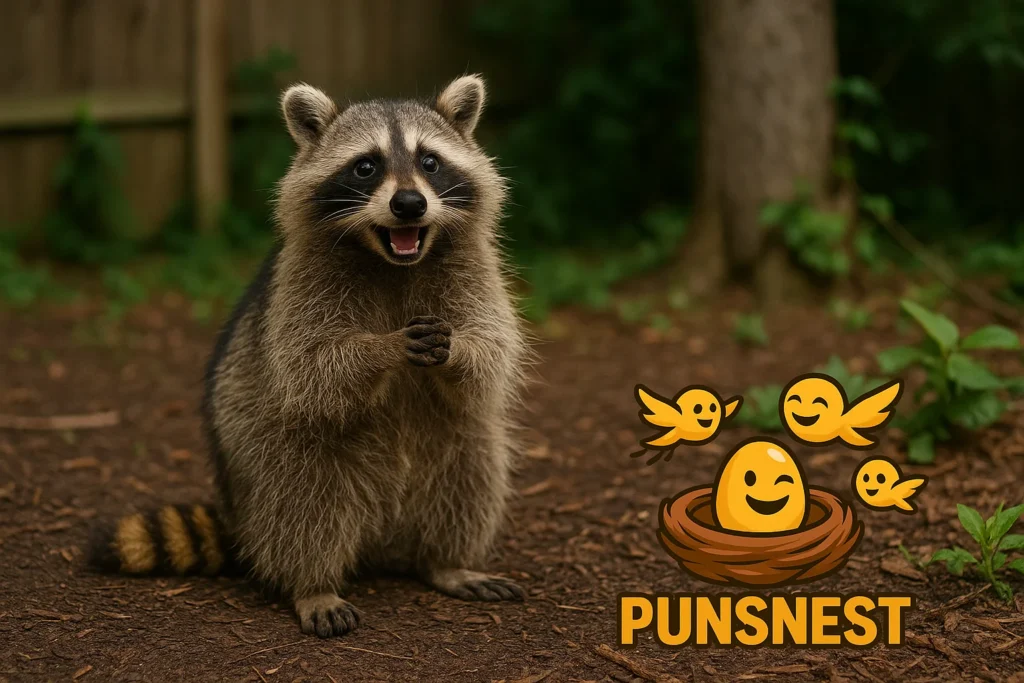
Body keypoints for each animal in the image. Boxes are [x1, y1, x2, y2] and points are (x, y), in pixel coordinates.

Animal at [90, 75, 529, 638]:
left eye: (430, 162)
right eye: (366, 166)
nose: (410, 203)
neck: (393, 257)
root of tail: (381, 530)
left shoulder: (473, 268)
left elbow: (492, 351)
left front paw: (460, 351)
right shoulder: (300, 282)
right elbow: (311, 365)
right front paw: (380, 348)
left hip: (450, 449)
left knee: (471, 463)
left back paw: (446, 561)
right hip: (261, 458)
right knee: (303, 495)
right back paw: (312, 583)